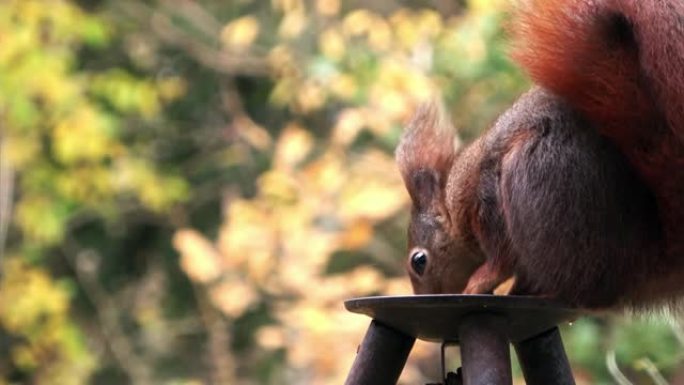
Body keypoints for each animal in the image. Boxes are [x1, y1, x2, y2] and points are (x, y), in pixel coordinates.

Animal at [392, 0, 684, 308]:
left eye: (419, 261)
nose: (426, 297)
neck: (454, 201)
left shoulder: (486, 201)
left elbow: (501, 259)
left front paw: (479, 282)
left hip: (537, 176)